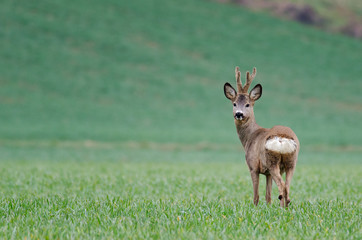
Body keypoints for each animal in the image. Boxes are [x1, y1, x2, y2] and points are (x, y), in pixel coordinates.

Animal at [223, 66, 300, 207]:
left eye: (247, 104)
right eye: (234, 103)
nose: (239, 114)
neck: (249, 137)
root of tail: (282, 139)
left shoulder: (253, 166)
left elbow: (256, 195)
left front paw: (255, 207)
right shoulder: (267, 173)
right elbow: (268, 195)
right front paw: (268, 207)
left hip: (272, 161)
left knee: (282, 186)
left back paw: (282, 207)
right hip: (291, 162)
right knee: (287, 187)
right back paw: (285, 206)